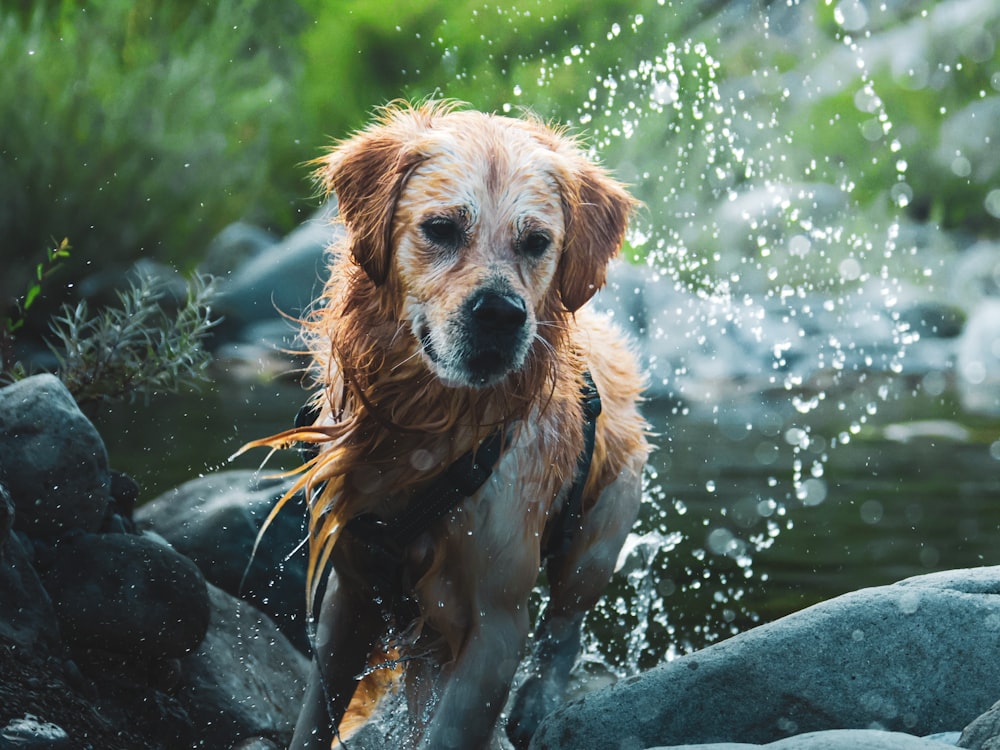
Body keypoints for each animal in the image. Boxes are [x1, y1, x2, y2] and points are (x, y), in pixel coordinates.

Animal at [250, 101, 648, 750]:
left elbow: (455, 725)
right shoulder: (350, 592)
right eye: (440, 229)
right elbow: (315, 719)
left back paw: (540, 700)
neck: (432, 428)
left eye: (536, 242)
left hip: (601, 532)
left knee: (566, 622)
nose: (500, 315)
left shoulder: (498, 624)